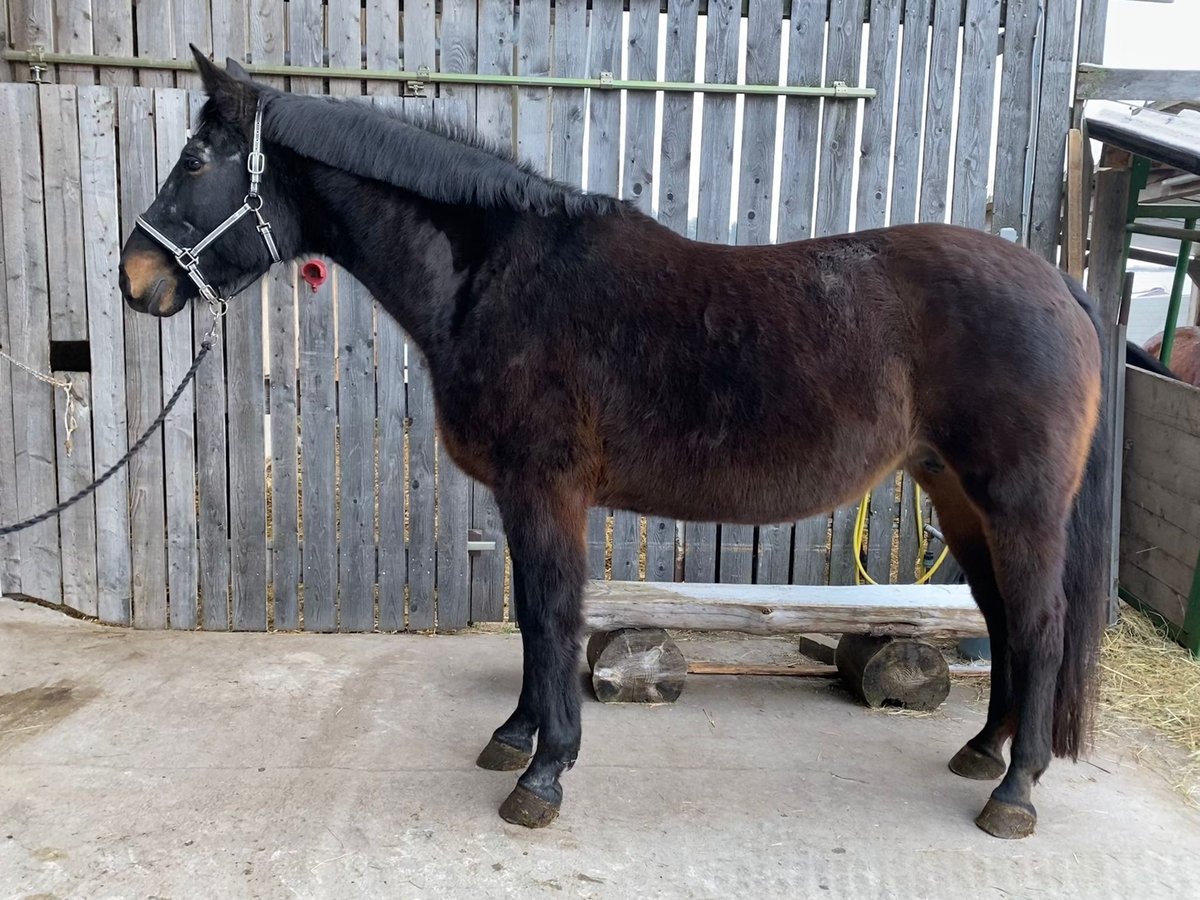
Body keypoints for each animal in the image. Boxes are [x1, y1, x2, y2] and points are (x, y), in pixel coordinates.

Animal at [117, 51, 1108, 840]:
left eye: (195, 160)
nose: (136, 276)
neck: (498, 278)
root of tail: (1058, 284)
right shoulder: (520, 497)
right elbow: (529, 616)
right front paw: (513, 737)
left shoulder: (546, 490)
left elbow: (555, 616)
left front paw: (543, 773)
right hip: (958, 498)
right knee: (1003, 621)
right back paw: (983, 751)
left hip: (1018, 504)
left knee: (1040, 625)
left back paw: (1014, 793)